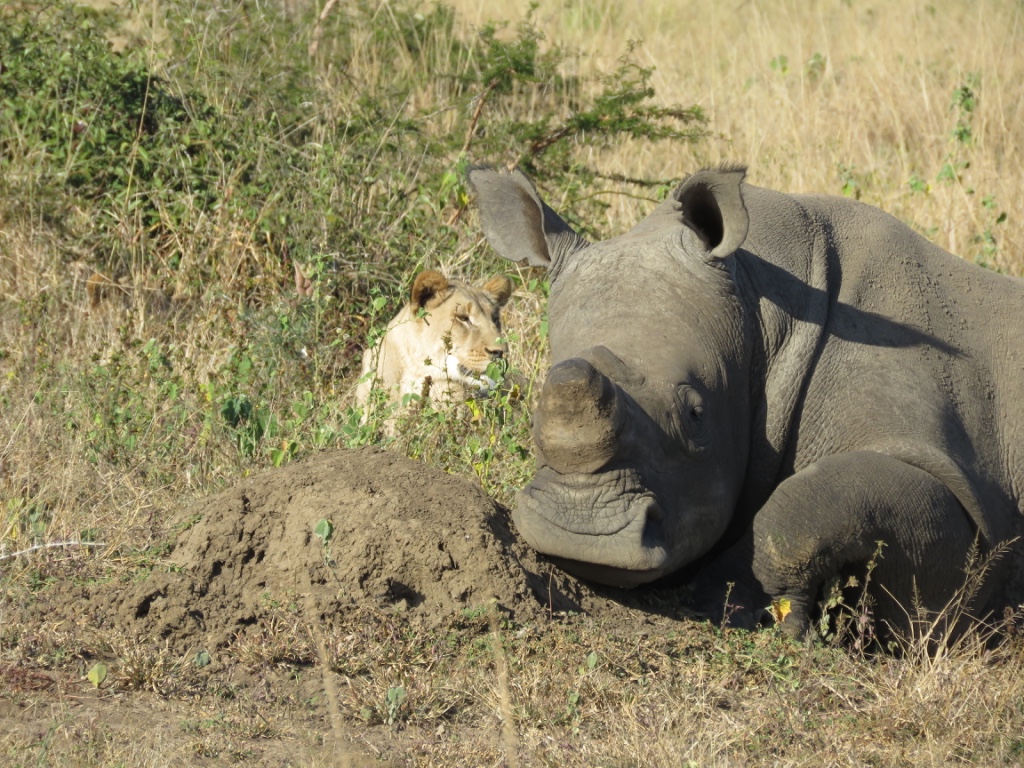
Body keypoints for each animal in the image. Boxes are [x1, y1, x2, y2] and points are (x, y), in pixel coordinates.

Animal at [467, 164, 1024, 638]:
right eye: (534, 409)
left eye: (697, 416)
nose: (580, 533)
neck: (763, 307)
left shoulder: (969, 502)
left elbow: (814, 508)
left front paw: (735, 606)